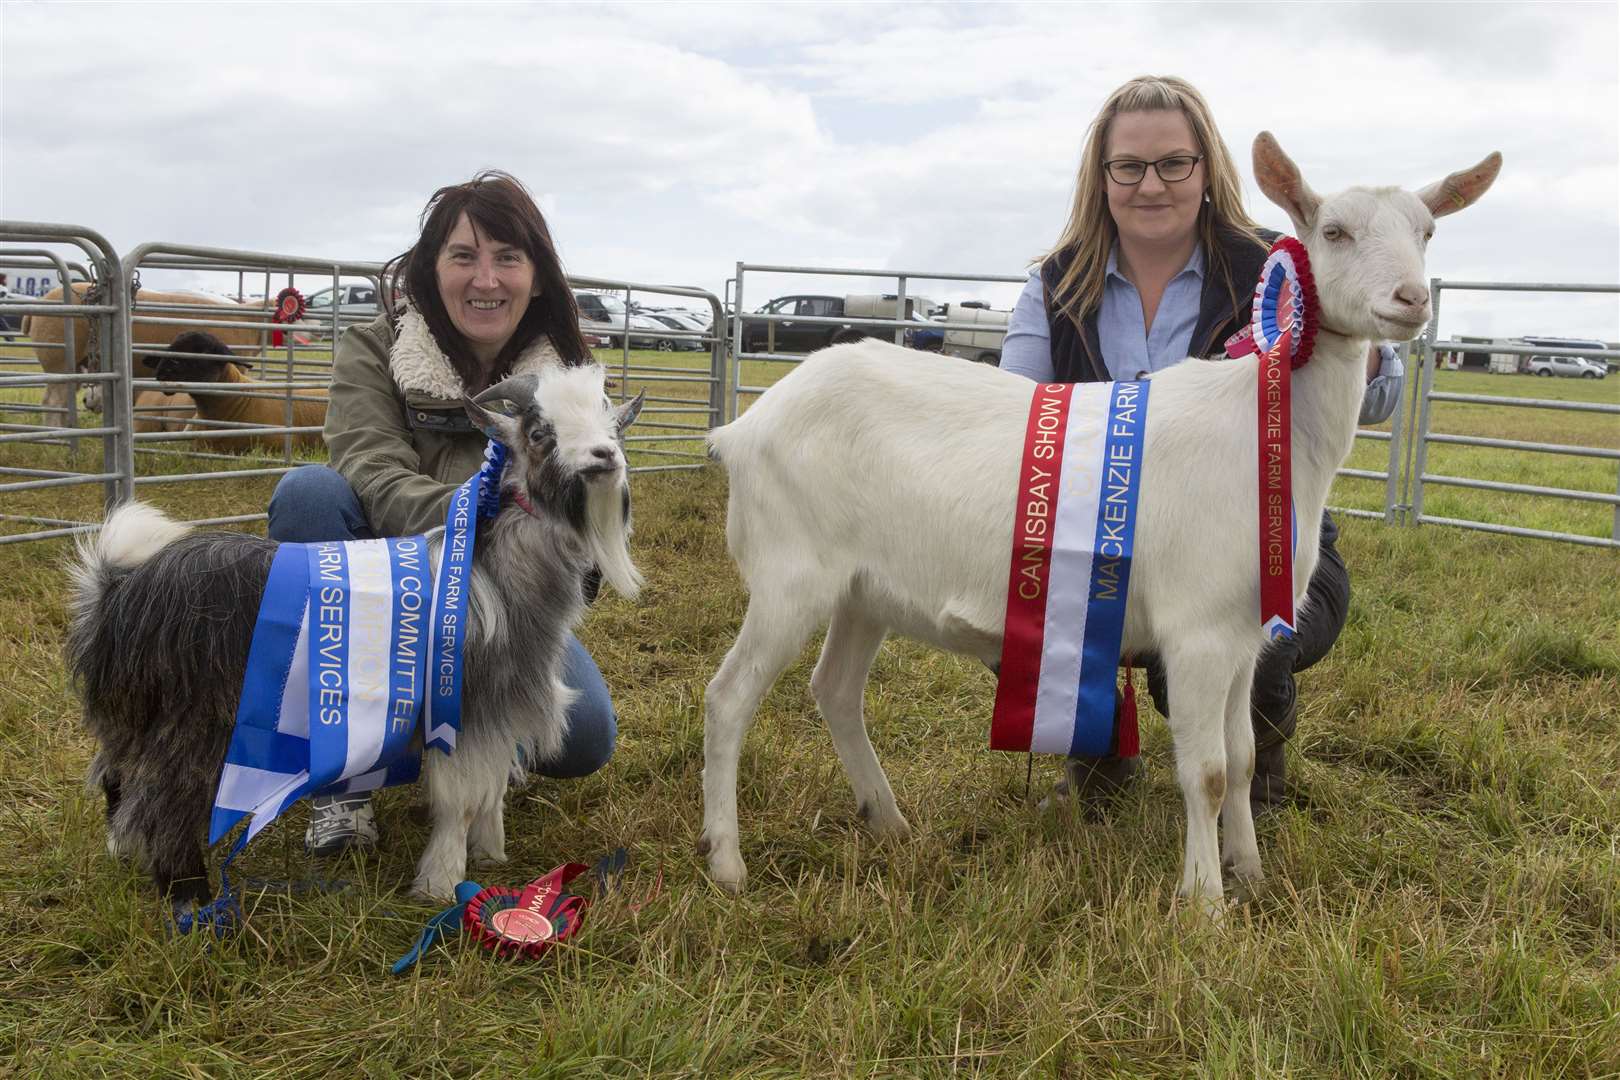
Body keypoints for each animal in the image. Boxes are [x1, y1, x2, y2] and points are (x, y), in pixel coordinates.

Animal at [64, 365, 644, 913]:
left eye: (611, 424)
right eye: (541, 431)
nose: (605, 456)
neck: (496, 571)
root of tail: (119, 592)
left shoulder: (504, 707)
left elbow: (493, 785)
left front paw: (490, 851)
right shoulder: (463, 710)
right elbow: (460, 799)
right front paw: (440, 881)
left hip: (131, 718)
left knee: (117, 778)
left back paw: (123, 851)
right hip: (193, 721)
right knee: (166, 799)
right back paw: (189, 895)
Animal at [703, 132, 1496, 913]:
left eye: (1426, 232)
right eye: (1334, 231)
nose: (1411, 300)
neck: (1265, 430)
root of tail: (743, 430)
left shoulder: (1248, 633)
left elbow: (1242, 759)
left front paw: (1250, 872)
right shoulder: (1199, 630)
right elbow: (1207, 772)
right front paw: (1205, 905)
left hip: (864, 589)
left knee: (834, 690)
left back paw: (889, 821)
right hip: (790, 573)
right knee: (730, 696)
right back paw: (728, 862)